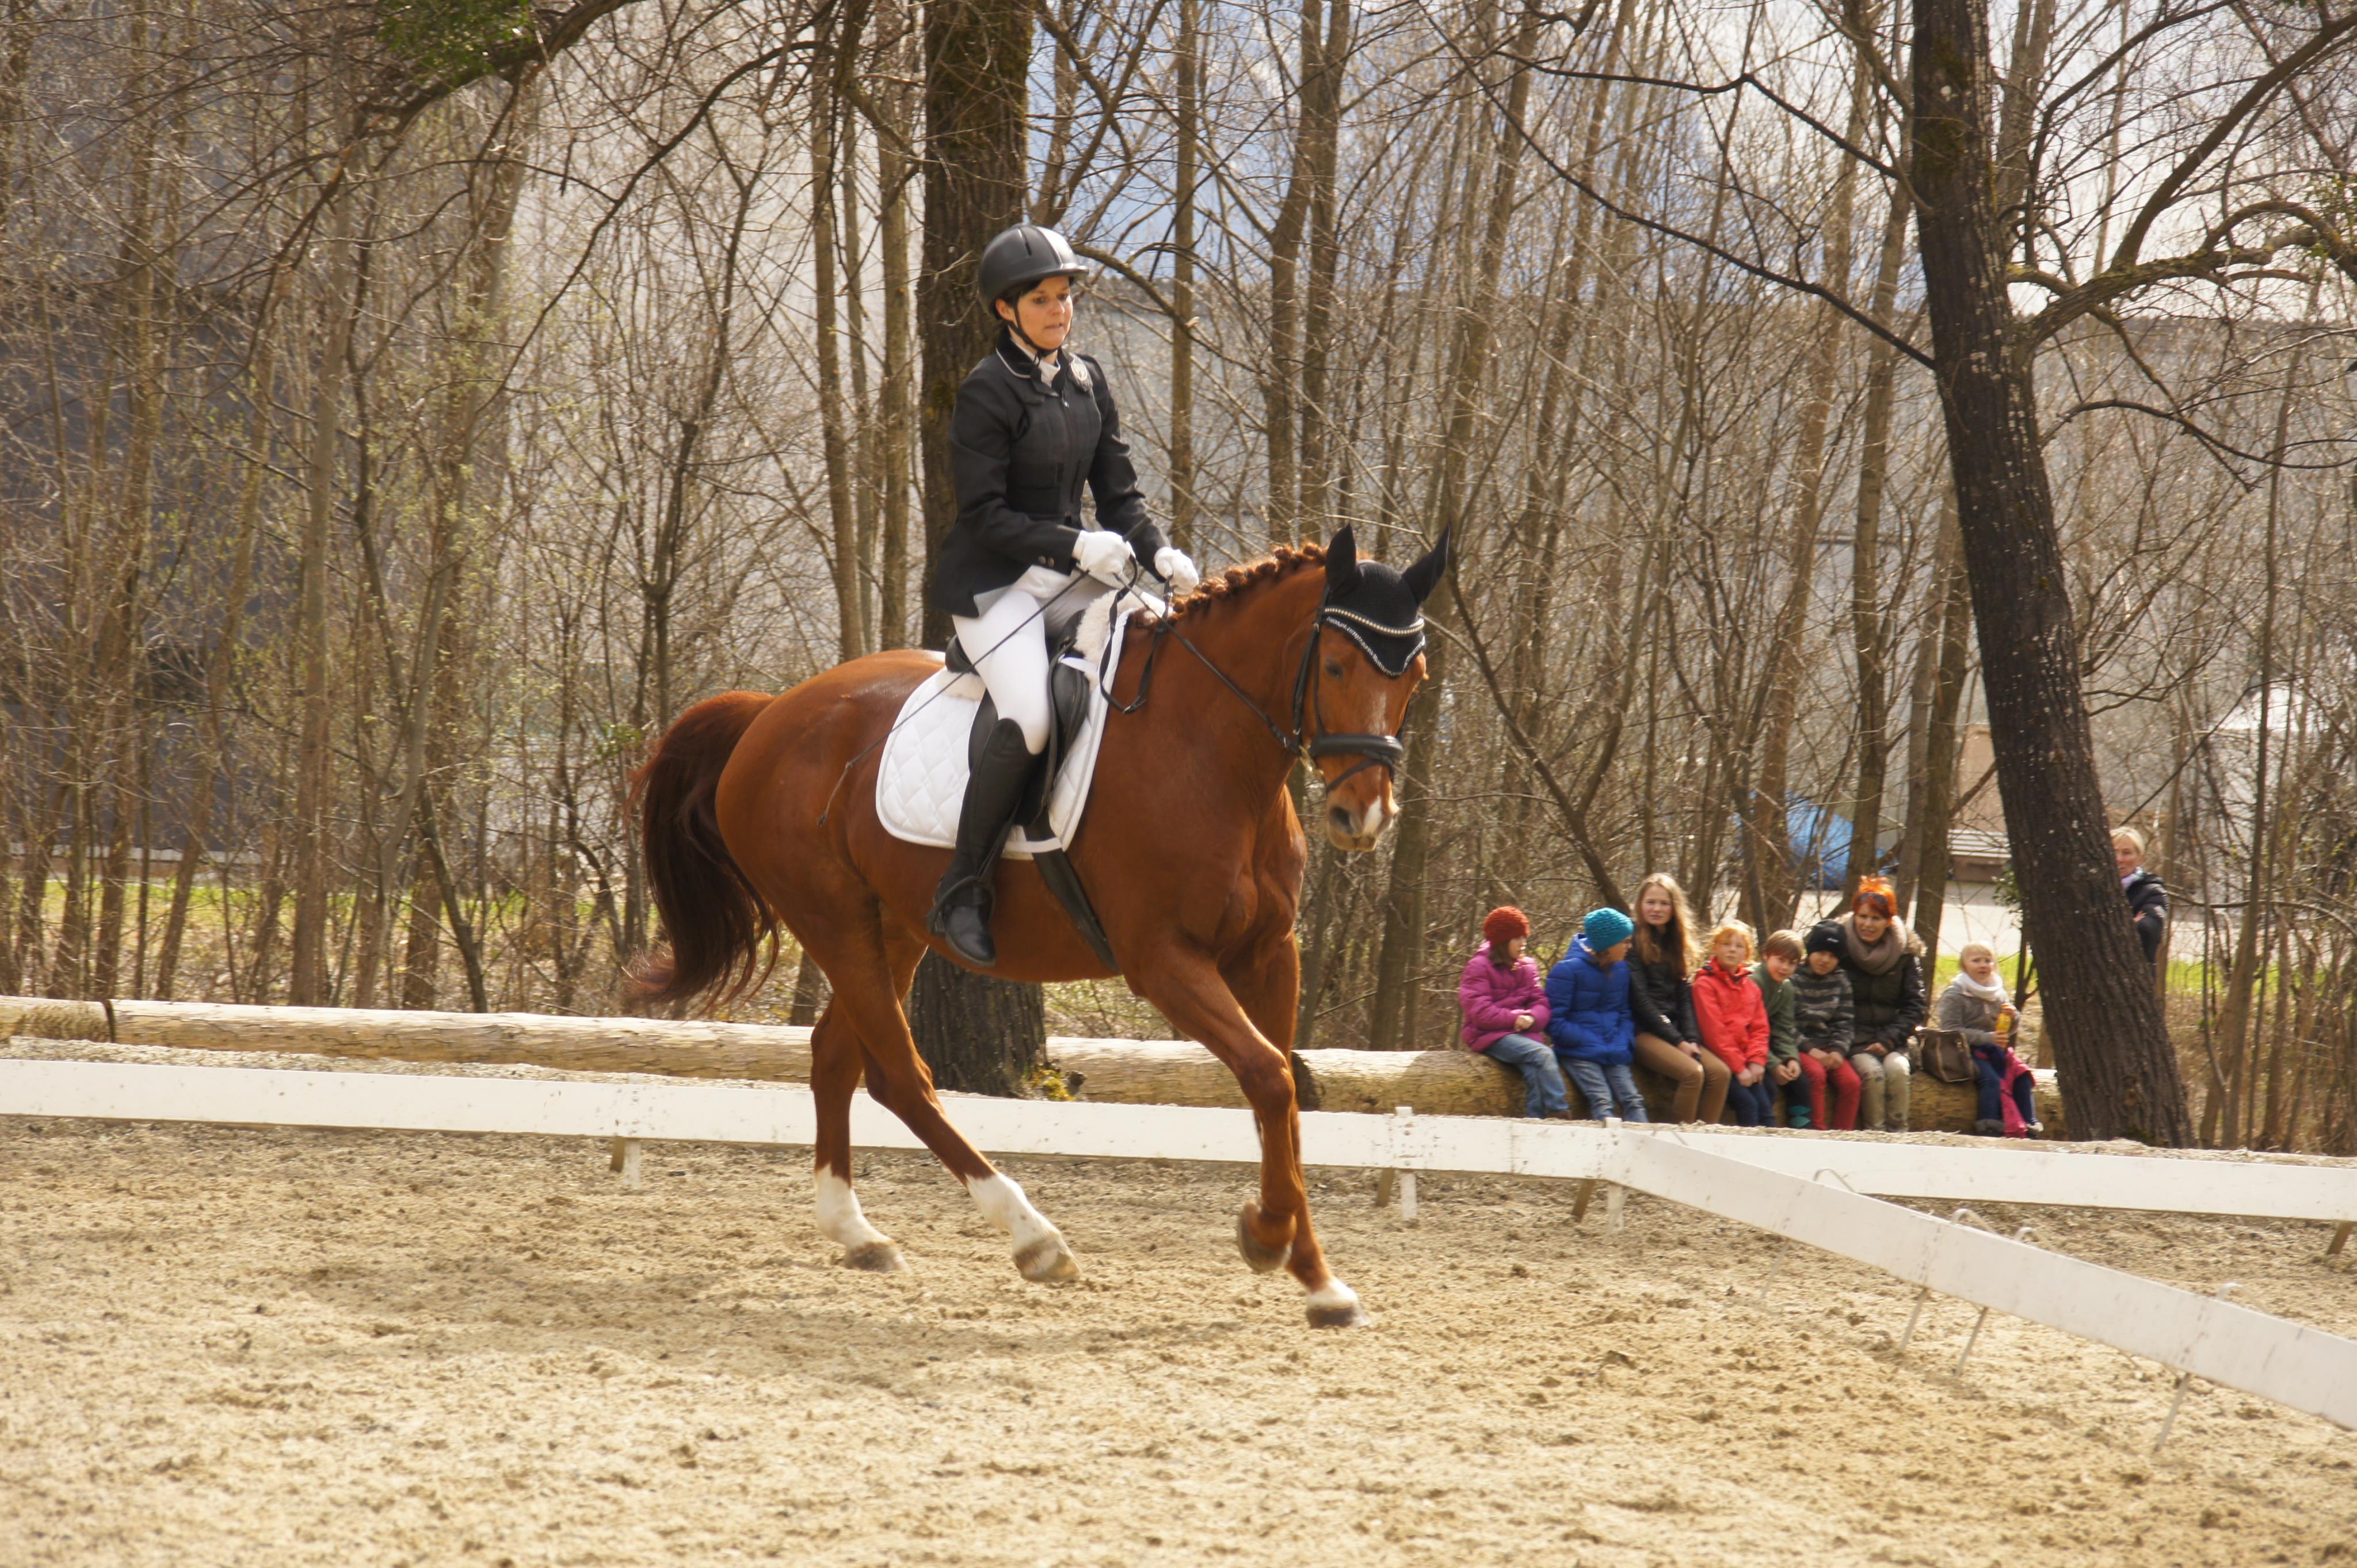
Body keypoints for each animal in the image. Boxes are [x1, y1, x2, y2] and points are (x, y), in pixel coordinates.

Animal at [628, 525, 1444, 1328]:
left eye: (1416, 677)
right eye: (1334, 665)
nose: (1363, 817)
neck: (1210, 749)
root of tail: (772, 713)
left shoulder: (1269, 955)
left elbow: (1282, 1095)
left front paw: (1316, 1277)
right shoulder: (1163, 961)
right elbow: (1270, 1078)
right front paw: (1269, 1237)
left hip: (892, 926)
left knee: (837, 1057)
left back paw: (858, 1232)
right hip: (833, 920)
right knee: (902, 1076)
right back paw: (1034, 1238)